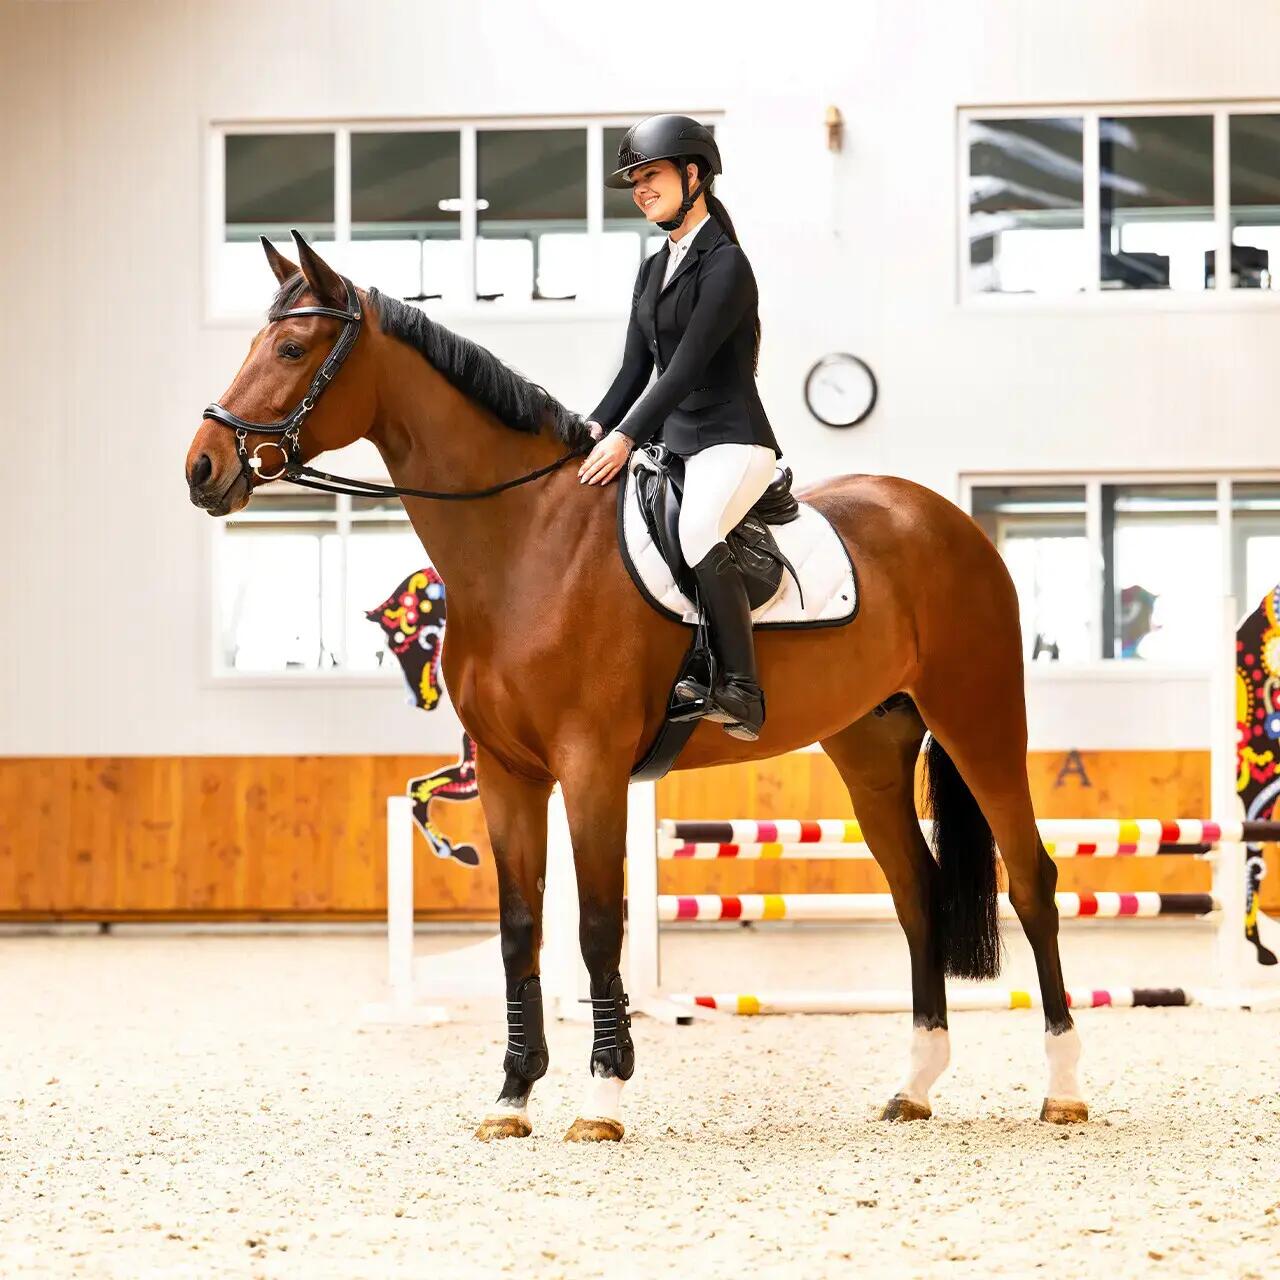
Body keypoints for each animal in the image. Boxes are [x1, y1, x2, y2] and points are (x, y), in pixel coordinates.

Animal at [185, 232, 1086, 1142]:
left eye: (292, 349)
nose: (203, 467)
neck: (525, 544)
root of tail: (947, 520)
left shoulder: (591, 768)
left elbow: (594, 925)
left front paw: (601, 1098)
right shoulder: (510, 774)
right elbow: (519, 930)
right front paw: (512, 1096)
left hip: (979, 718)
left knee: (1031, 880)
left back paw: (1063, 1088)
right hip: (868, 748)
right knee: (918, 895)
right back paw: (916, 1086)